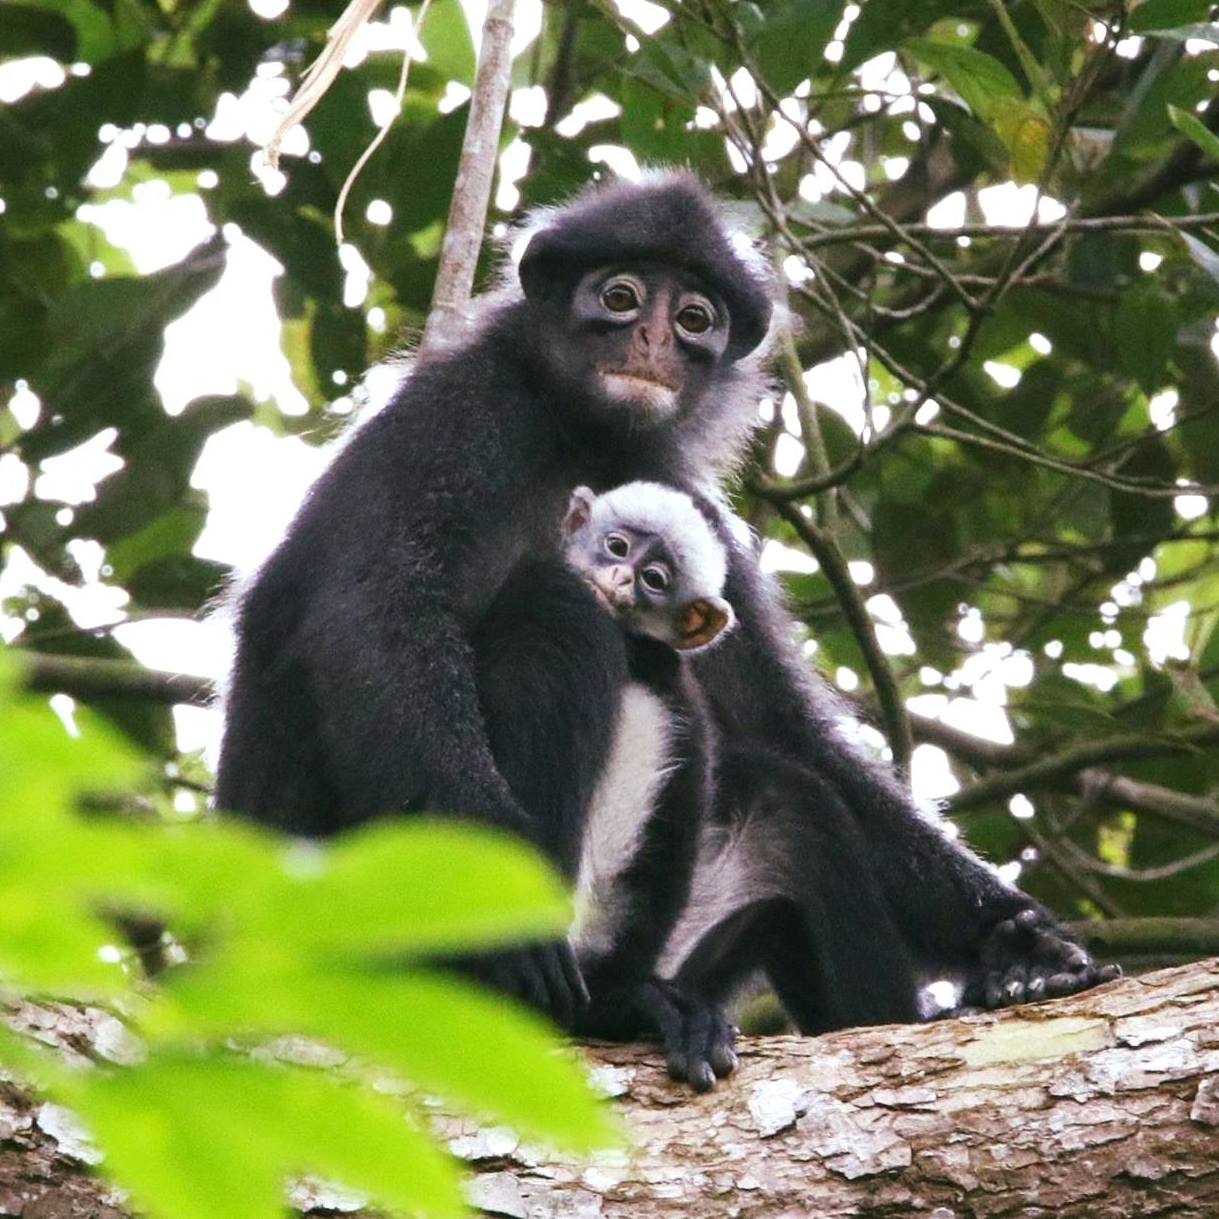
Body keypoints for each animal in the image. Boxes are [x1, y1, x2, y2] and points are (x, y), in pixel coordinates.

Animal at [216, 171, 1116, 1087]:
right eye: (618, 297)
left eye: (693, 318)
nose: (650, 338)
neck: (578, 432)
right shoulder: (458, 410)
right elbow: (378, 612)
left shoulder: (678, 488)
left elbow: (780, 727)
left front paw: (1018, 944)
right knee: (552, 611)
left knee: (785, 798)